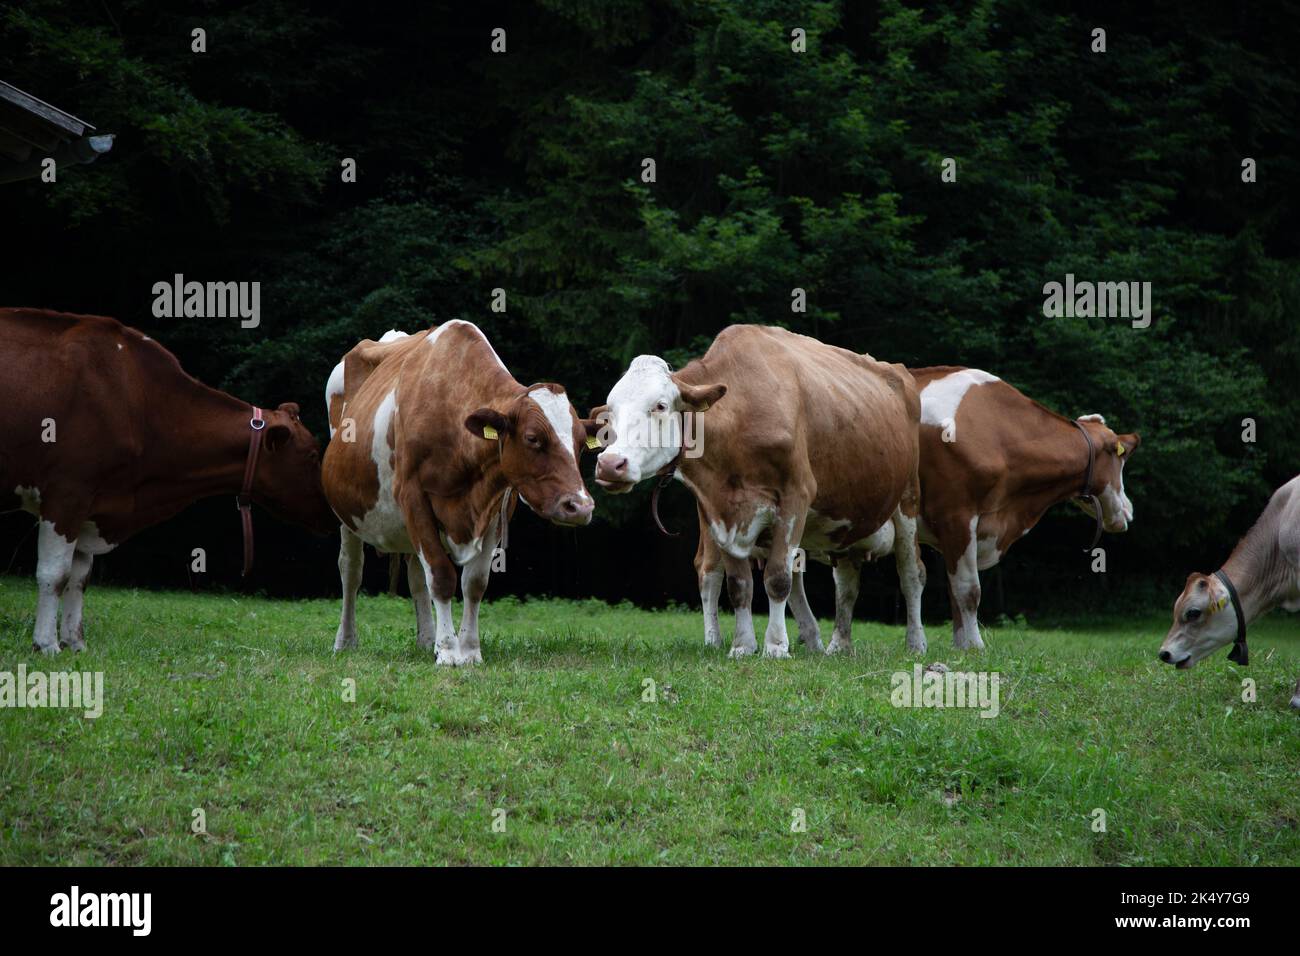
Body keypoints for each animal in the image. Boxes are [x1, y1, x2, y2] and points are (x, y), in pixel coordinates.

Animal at [1, 310, 335, 655]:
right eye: (312, 455)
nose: (331, 512)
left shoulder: (92, 504)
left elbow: (79, 577)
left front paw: (75, 642)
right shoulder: (67, 492)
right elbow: (55, 574)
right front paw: (46, 644)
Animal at [322, 321, 595, 665]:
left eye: (581, 443)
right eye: (533, 438)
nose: (581, 506)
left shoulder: (497, 506)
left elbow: (474, 582)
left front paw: (469, 649)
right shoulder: (413, 496)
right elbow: (441, 576)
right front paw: (450, 652)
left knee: (415, 576)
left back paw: (427, 639)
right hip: (348, 514)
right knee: (351, 570)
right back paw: (346, 640)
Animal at [590, 325, 925, 660]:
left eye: (660, 405)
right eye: (610, 412)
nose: (609, 464)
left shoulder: (796, 497)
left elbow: (777, 577)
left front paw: (775, 646)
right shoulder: (718, 509)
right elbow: (739, 584)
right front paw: (743, 645)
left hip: (907, 501)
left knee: (911, 573)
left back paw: (915, 643)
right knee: (844, 582)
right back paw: (835, 645)